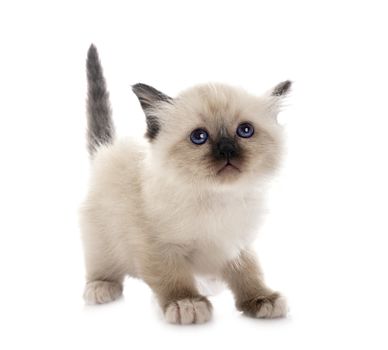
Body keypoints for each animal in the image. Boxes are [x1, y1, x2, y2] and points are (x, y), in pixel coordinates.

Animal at [79, 44, 292, 326]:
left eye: (245, 131)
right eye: (199, 137)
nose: (227, 150)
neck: (216, 198)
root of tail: (107, 150)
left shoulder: (238, 244)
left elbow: (249, 271)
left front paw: (261, 298)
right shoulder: (157, 245)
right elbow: (172, 275)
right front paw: (186, 302)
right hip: (100, 236)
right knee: (100, 264)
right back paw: (101, 287)